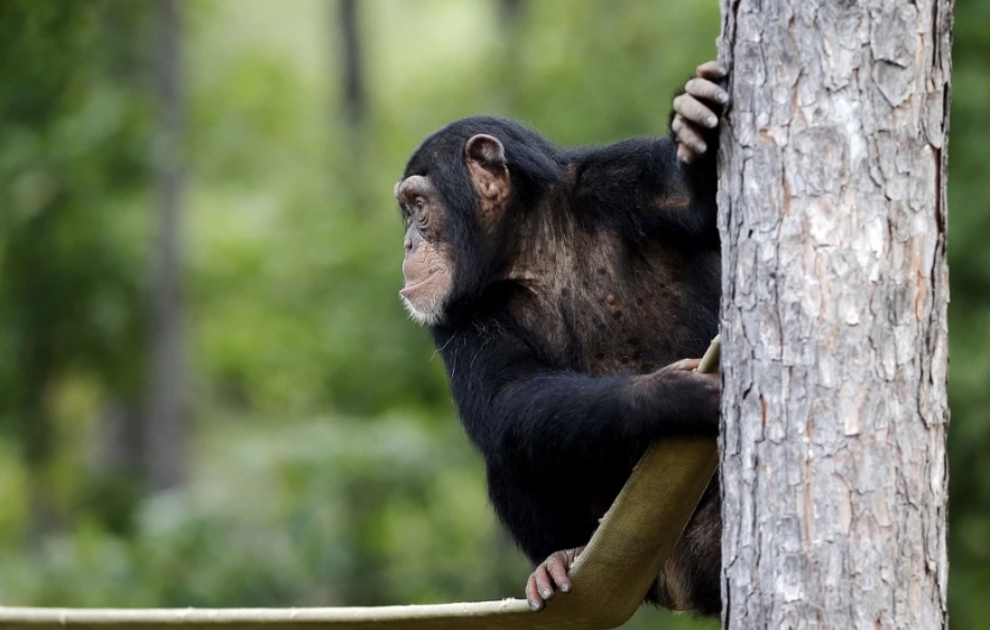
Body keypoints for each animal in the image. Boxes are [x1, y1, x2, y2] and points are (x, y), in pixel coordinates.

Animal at [396, 61, 728, 616]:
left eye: (418, 205)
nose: (406, 243)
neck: (529, 246)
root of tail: (675, 582)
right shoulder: (454, 316)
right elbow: (506, 395)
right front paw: (669, 396)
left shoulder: (625, 178)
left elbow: (697, 206)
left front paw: (697, 124)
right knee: (509, 446)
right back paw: (560, 557)